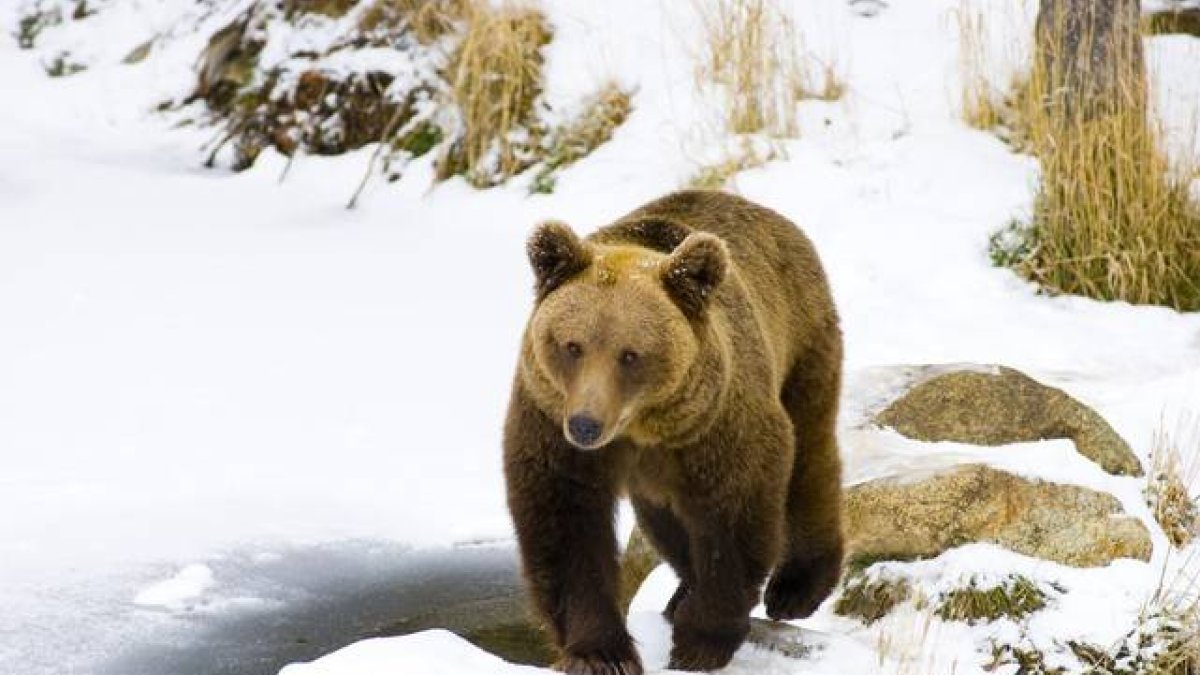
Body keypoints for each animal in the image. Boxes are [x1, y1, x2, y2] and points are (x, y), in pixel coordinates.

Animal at [504, 189, 844, 672]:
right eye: (572, 346)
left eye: (630, 354)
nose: (586, 424)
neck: (641, 427)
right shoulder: (550, 420)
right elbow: (566, 520)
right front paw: (602, 652)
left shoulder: (717, 421)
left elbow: (734, 511)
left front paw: (701, 639)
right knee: (663, 518)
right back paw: (682, 591)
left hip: (802, 343)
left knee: (810, 456)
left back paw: (797, 587)